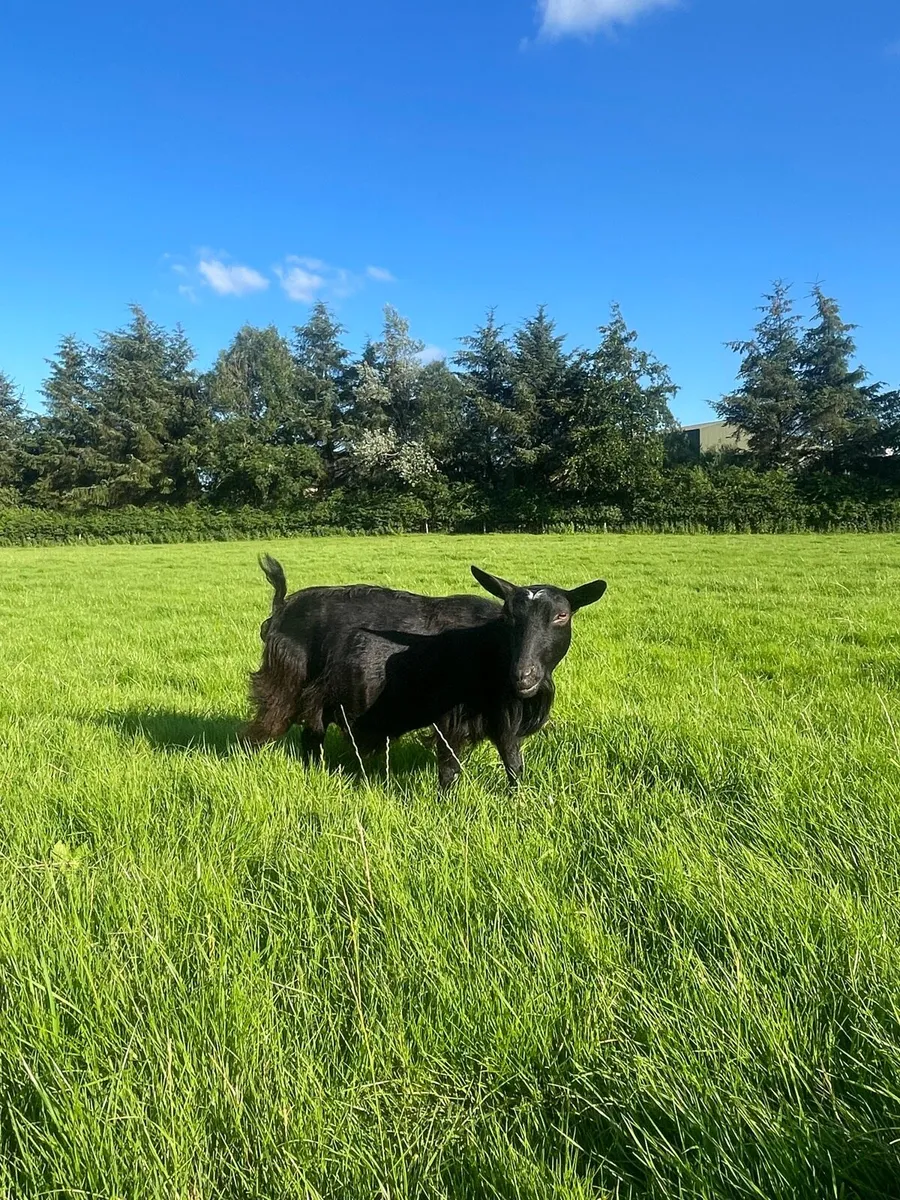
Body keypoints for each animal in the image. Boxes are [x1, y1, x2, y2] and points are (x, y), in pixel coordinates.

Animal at [243, 556, 607, 789]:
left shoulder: (502, 718)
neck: (489, 646)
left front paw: (517, 801)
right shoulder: (449, 717)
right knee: (258, 733)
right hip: (283, 685)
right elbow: (449, 768)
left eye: (561, 615)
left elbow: (513, 764)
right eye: (508, 616)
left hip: (317, 698)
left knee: (311, 737)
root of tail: (281, 608)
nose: (524, 675)